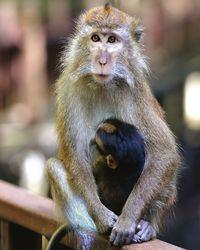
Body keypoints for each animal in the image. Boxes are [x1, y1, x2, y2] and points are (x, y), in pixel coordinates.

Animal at [46, 2, 180, 247]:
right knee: (54, 167)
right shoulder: (68, 90)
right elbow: (76, 155)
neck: (102, 85)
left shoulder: (136, 92)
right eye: (95, 38)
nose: (102, 61)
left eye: (112, 40)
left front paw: (128, 219)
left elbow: (164, 153)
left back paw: (147, 225)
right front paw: (102, 216)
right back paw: (88, 228)